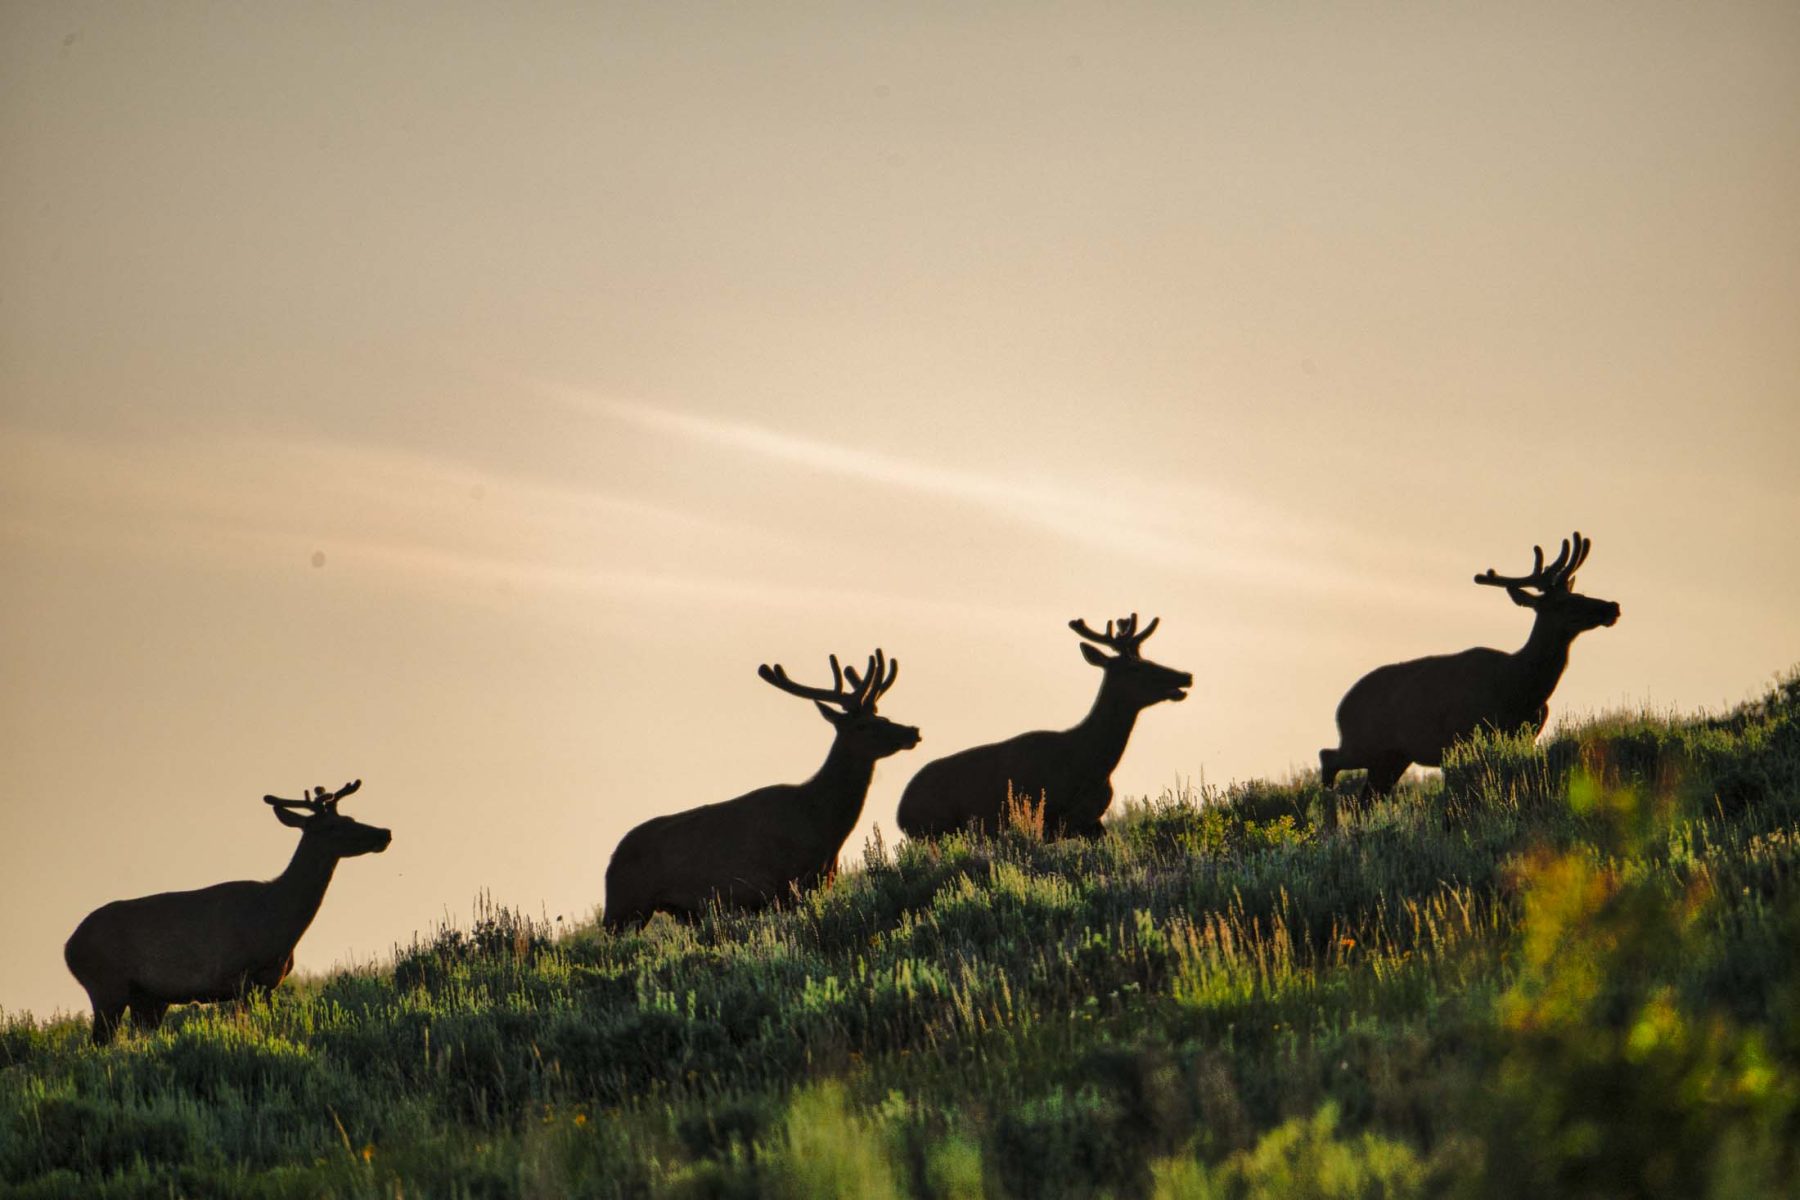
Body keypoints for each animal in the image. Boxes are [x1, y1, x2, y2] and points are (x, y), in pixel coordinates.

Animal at [63, 780, 390, 1045]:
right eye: (333, 826)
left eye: (350, 817)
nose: (384, 832)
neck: (277, 919)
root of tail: (69, 947)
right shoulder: (240, 976)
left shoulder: (269, 982)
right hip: (106, 985)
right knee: (99, 1042)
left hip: (148, 998)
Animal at [603, 649, 919, 930]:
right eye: (862, 725)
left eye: (883, 716)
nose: (912, 731)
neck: (822, 823)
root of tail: (612, 859)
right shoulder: (786, 883)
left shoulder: (820, 881)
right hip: (623, 905)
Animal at [896, 613, 1191, 840]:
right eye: (1135, 667)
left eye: (1146, 658)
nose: (1185, 676)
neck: (1090, 764)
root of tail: (900, 812)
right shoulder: (1047, 816)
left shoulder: (1091, 822)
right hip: (934, 831)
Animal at [1320, 531, 1620, 817]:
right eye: (1562, 602)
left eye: (1580, 593)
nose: (1611, 607)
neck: (1519, 688)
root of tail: (1340, 708)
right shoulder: (1465, 736)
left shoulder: (1525, 735)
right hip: (1365, 743)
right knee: (1327, 757)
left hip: (1392, 758)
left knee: (1365, 799)